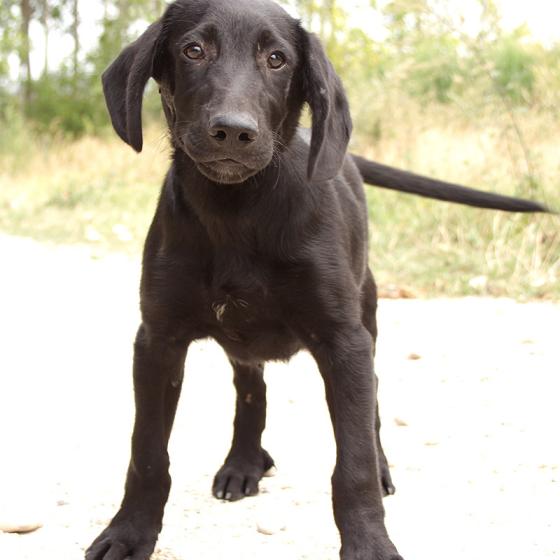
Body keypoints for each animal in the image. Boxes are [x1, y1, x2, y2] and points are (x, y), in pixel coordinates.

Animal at [86, 1, 549, 559]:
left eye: (277, 59)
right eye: (193, 50)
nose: (233, 131)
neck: (238, 210)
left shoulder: (343, 341)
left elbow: (354, 463)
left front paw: (370, 542)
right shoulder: (157, 340)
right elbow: (148, 453)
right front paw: (129, 532)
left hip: (367, 315)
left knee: (372, 405)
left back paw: (379, 466)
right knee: (251, 390)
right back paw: (243, 462)